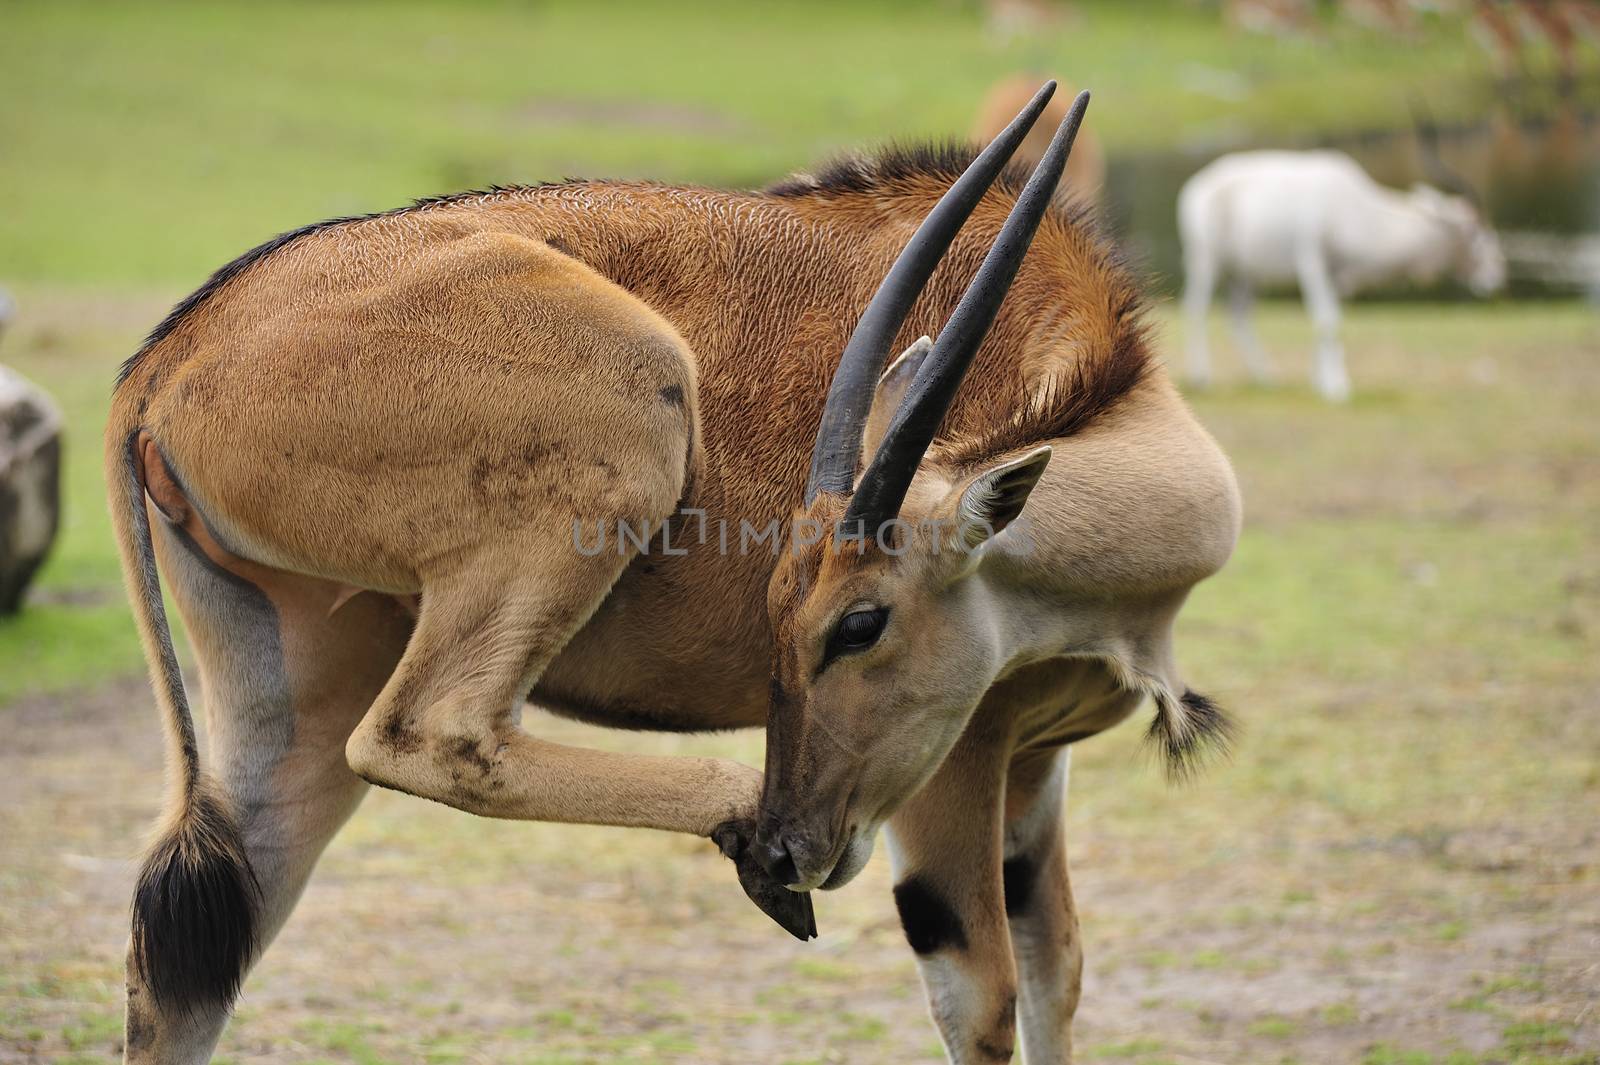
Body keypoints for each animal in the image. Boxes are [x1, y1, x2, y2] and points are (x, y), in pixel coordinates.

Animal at [112, 85, 1241, 1061]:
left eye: (854, 622)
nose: (790, 845)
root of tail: (164, 362)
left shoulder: (1035, 770)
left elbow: (1058, 974)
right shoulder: (960, 768)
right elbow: (985, 1000)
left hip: (285, 708)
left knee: (186, 965)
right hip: (621, 431)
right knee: (432, 733)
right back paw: (733, 811)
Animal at [1177, 147, 1510, 399]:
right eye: (1477, 235)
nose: (1496, 277)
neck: (1360, 212)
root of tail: (1196, 187)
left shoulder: (1338, 276)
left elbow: (1331, 321)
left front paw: (1321, 380)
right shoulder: (1312, 261)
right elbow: (1326, 319)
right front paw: (1336, 389)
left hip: (1246, 272)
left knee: (1239, 314)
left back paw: (1265, 377)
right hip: (1206, 258)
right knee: (1197, 307)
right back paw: (1202, 378)